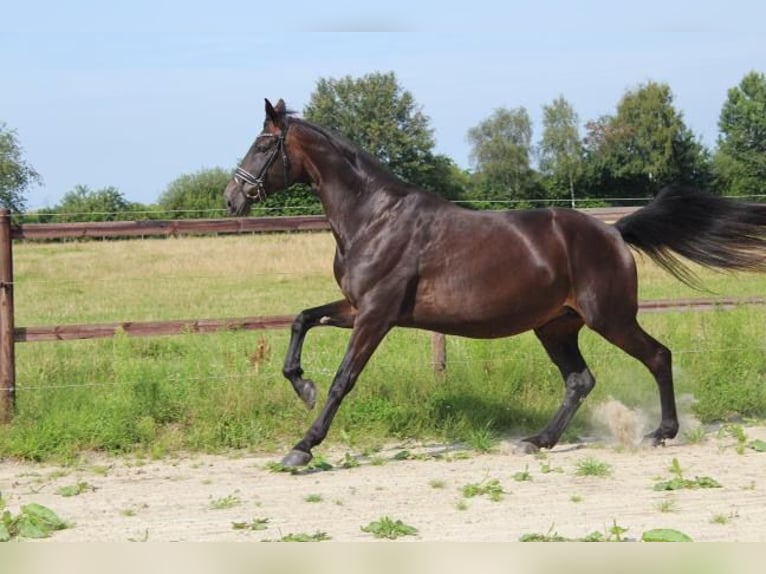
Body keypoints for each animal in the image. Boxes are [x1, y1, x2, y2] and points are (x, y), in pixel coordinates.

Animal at [225, 98, 766, 468]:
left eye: (262, 145)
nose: (232, 197)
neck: (375, 218)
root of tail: (613, 232)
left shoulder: (376, 314)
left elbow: (344, 379)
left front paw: (302, 447)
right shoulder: (357, 306)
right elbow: (301, 320)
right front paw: (302, 386)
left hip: (609, 317)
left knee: (657, 356)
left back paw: (661, 432)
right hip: (556, 326)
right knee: (580, 380)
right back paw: (538, 441)